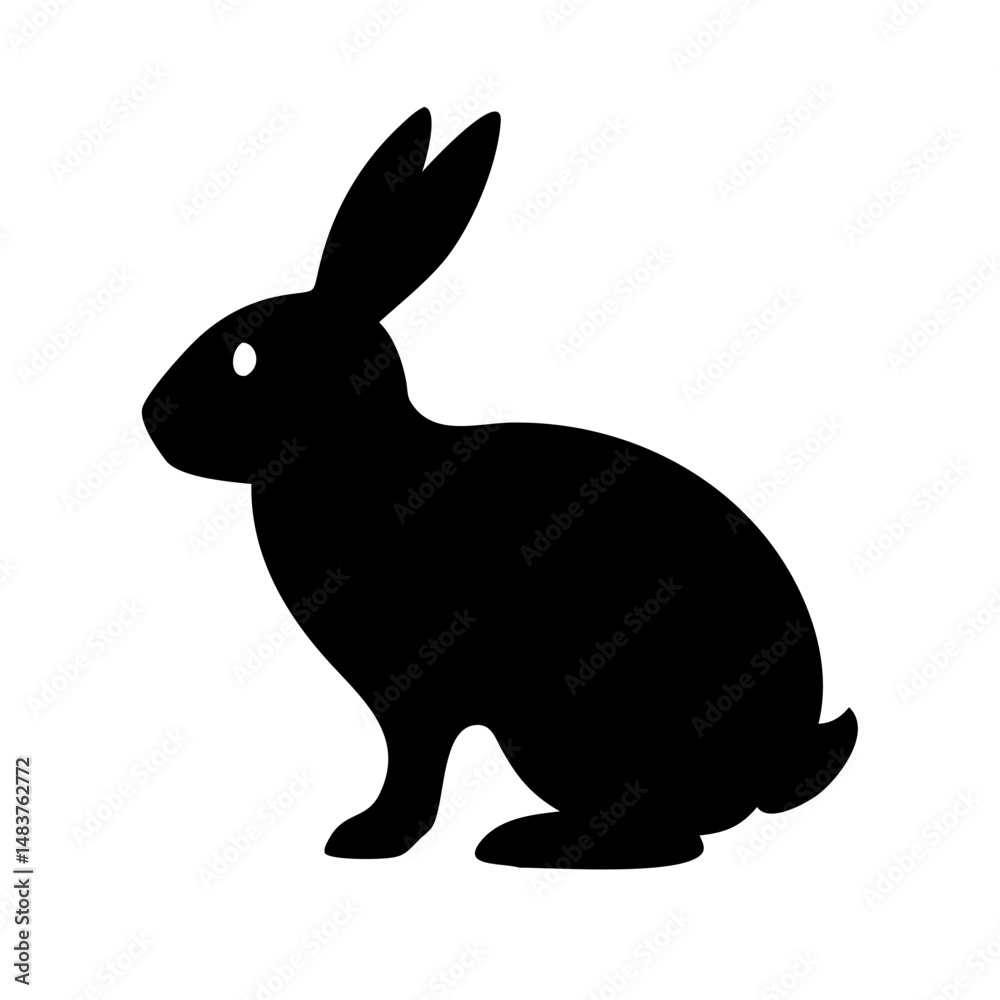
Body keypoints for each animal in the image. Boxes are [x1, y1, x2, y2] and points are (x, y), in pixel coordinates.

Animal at [143, 107, 857, 869]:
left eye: (245, 359)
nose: (151, 417)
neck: (357, 457)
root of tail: (776, 759)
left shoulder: (418, 695)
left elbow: (413, 767)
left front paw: (368, 837)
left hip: (561, 726)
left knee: (667, 833)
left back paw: (529, 842)